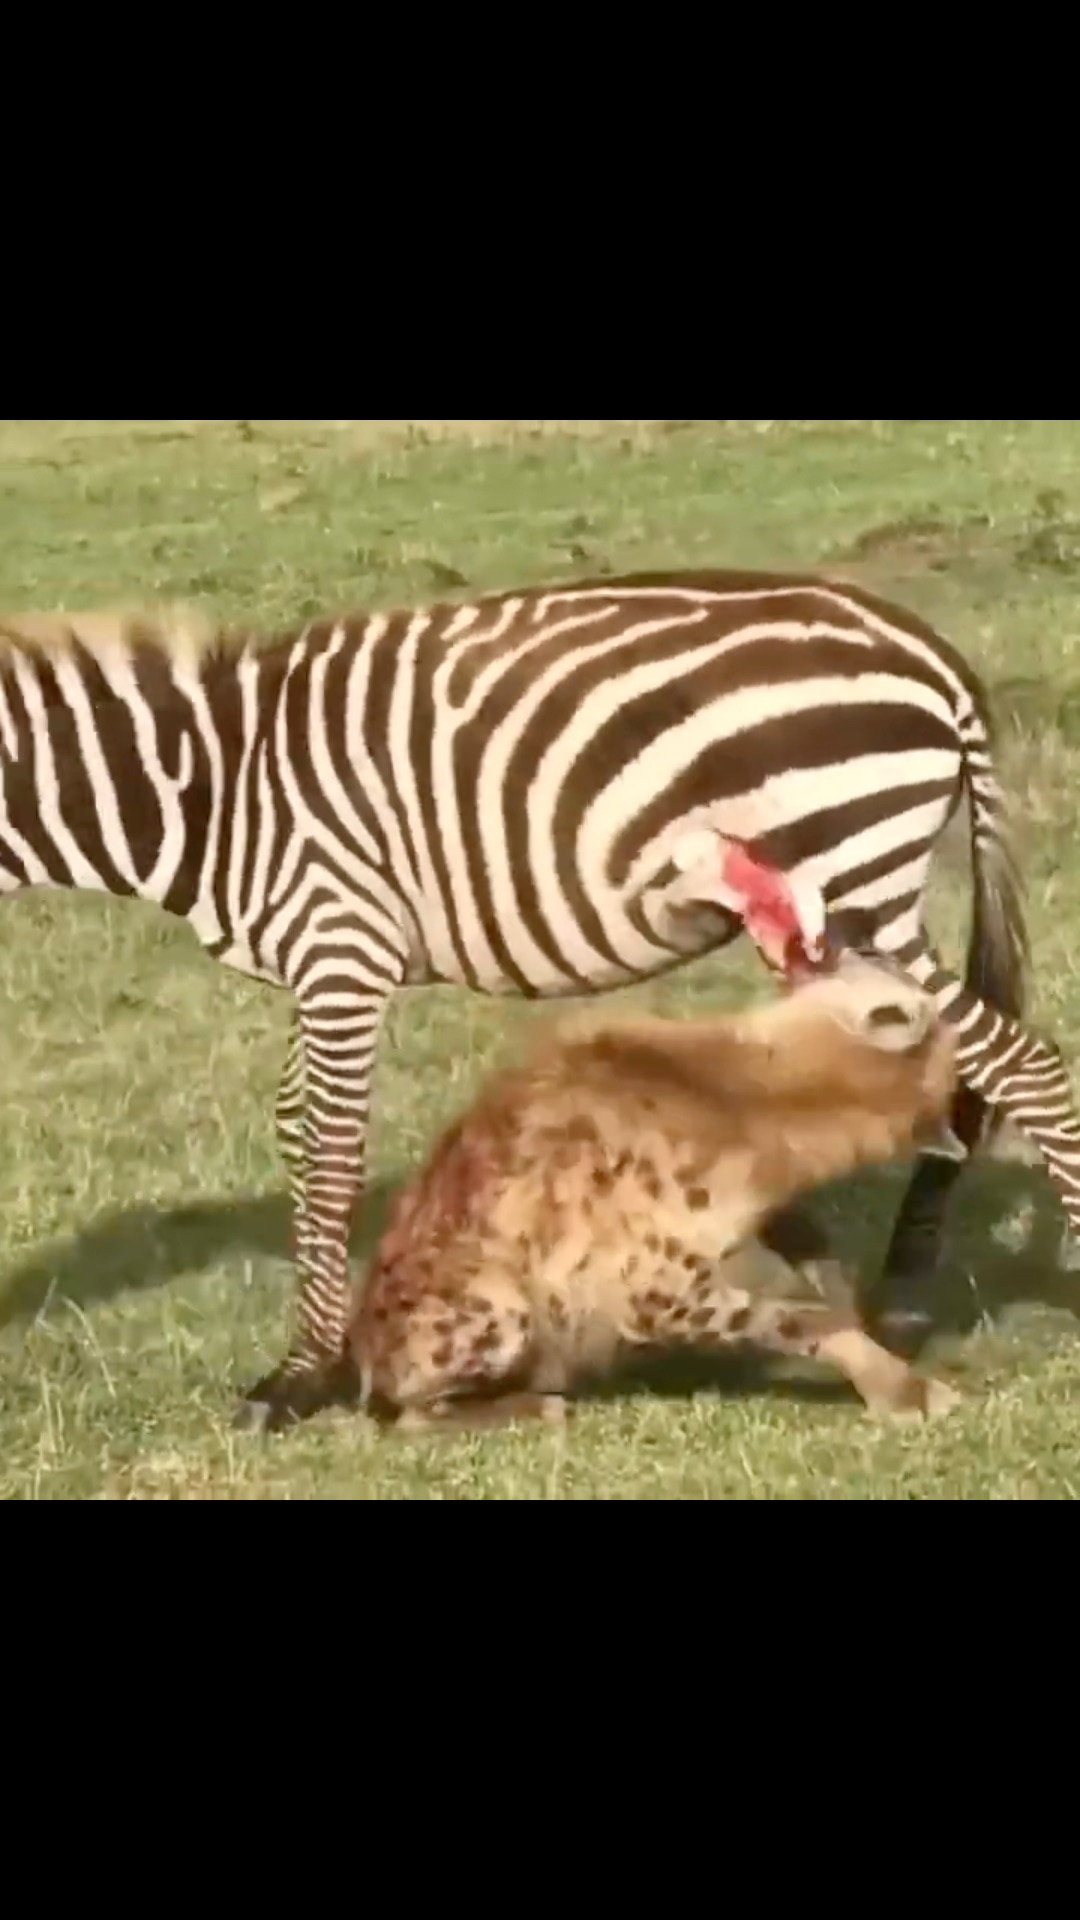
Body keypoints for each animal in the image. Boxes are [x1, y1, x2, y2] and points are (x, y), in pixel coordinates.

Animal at [0, 570, 1075, 1434]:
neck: (206, 792)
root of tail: (924, 648)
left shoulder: (341, 943)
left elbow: (327, 1156)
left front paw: (300, 1377)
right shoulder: (320, 960)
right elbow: (294, 1133)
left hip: (855, 870)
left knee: (1022, 1069)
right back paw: (896, 1297)